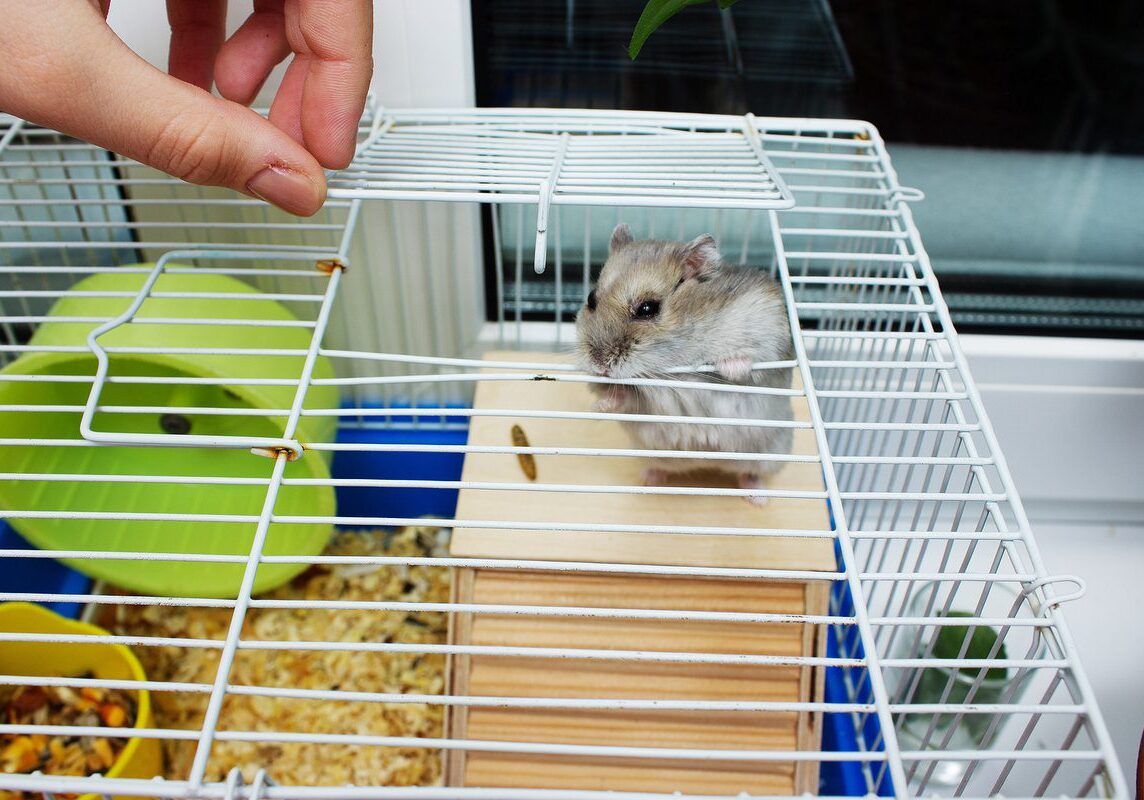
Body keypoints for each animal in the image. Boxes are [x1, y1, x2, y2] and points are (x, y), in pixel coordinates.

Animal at [575, 223, 794, 504]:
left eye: (647, 308)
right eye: (591, 299)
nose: (599, 364)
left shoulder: (767, 324)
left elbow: (752, 362)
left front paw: (732, 365)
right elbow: (621, 397)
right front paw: (598, 406)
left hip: (772, 452)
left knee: (750, 473)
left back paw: (759, 499)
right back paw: (648, 480)